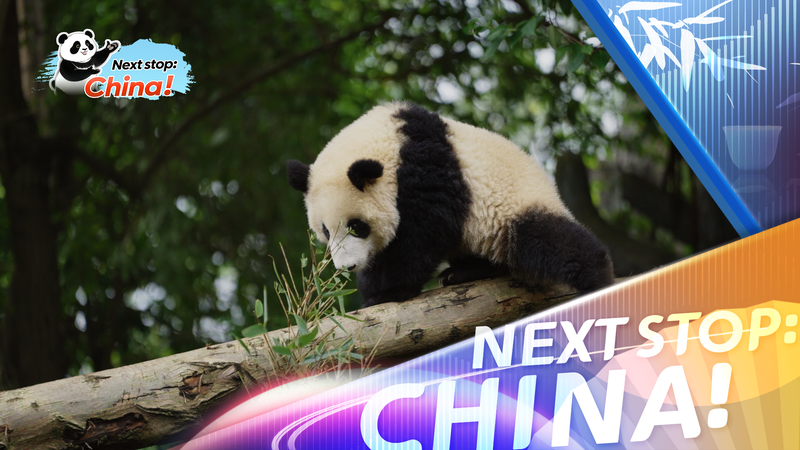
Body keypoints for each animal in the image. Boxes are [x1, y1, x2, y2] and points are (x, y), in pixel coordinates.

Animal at [287, 102, 614, 307]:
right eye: (325, 231)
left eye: (357, 226)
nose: (347, 267)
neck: (390, 141)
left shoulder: (425, 169)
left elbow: (423, 232)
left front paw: (384, 291)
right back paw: (464, 272)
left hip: (516, 205)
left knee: (549, 240)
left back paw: (596, 276)